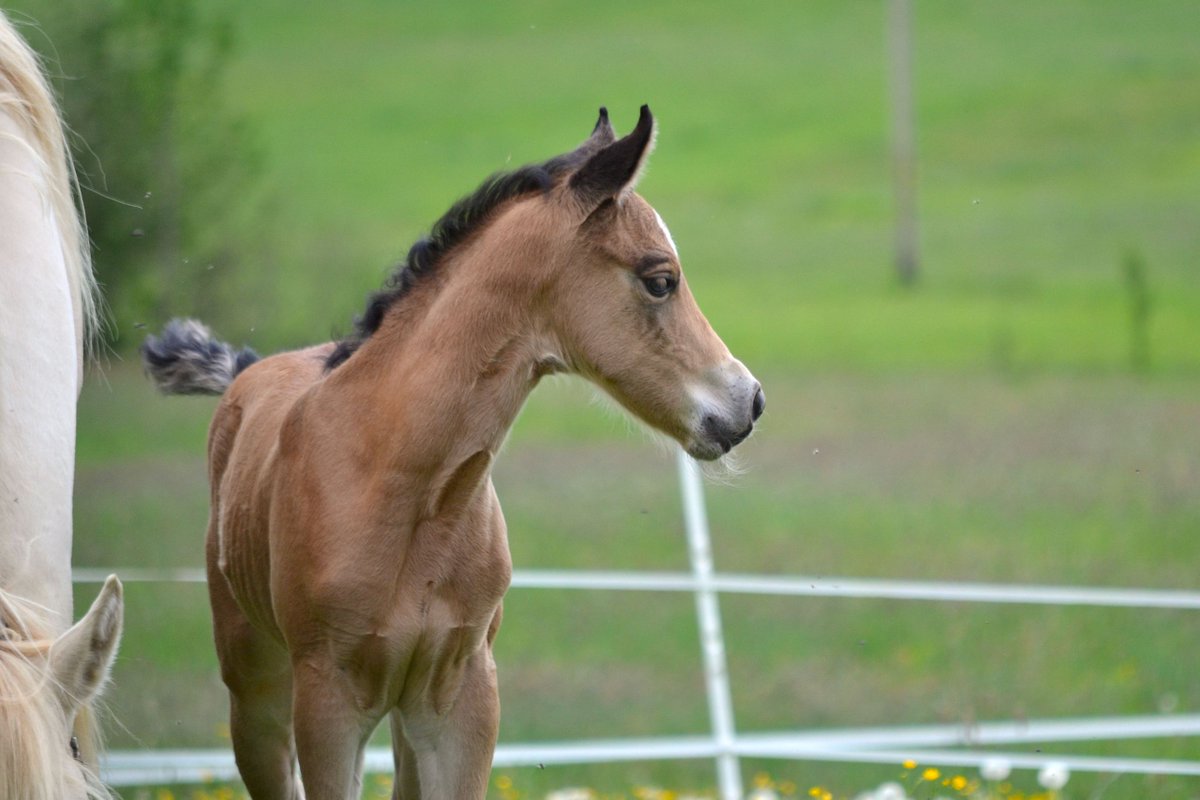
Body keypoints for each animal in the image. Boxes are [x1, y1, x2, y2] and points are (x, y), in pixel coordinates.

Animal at [142, 105, 764, 800]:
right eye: (660, 280)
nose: (749, 401)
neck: (404, 483)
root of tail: (250, 370)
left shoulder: (460, 698)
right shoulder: (327, 702)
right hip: (256, 692)